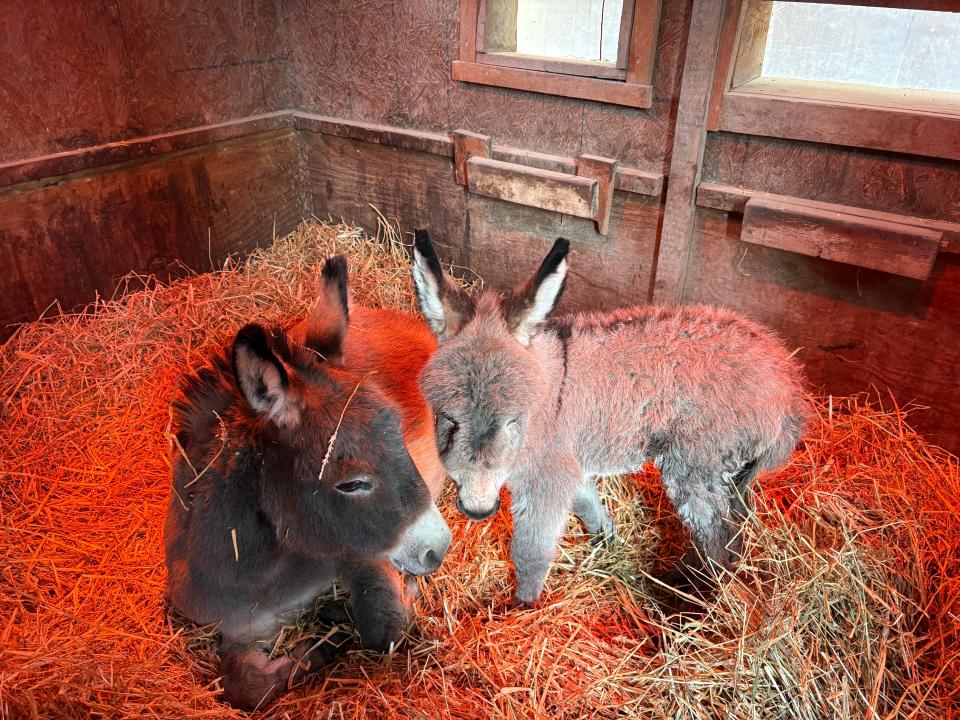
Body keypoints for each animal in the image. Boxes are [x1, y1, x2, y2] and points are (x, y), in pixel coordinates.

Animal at [408, 233, 808, 604]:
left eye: (512, 421)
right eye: (448, 418)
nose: (477, 510)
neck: (549, 394)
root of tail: (787, 383)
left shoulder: (547, 477)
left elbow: (531, 552)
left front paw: (523, 607)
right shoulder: (570, 465)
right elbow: (590, 507)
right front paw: (608, 541)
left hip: (695, 469)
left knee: (721, 544)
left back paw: (699, 606)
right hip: (731, 476)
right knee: (735, 529)